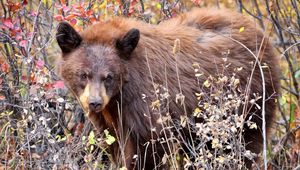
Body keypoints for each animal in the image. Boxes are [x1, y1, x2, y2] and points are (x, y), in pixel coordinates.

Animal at [55, 7, 278, 169]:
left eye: (109, 76)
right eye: (83, 74)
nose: (95, 102)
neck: (120, 95)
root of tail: (262, 34)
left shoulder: (147, 102)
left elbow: (148, 147)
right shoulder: (108, 119)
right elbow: (113, 144)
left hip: (251, 101)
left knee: (244, 144)